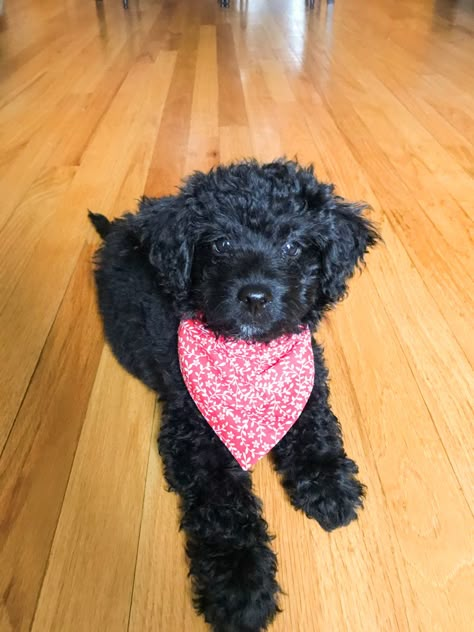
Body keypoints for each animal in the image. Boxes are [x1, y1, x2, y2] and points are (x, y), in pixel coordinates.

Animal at [88, 159, 378, 632]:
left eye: (294, 246)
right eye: (221, 243)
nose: (254, 296)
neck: (247, 361)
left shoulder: (303, 378)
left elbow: (315, 425)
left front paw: (329, 483)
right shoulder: (194, 438)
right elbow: (225, 513)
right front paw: (242, 589)